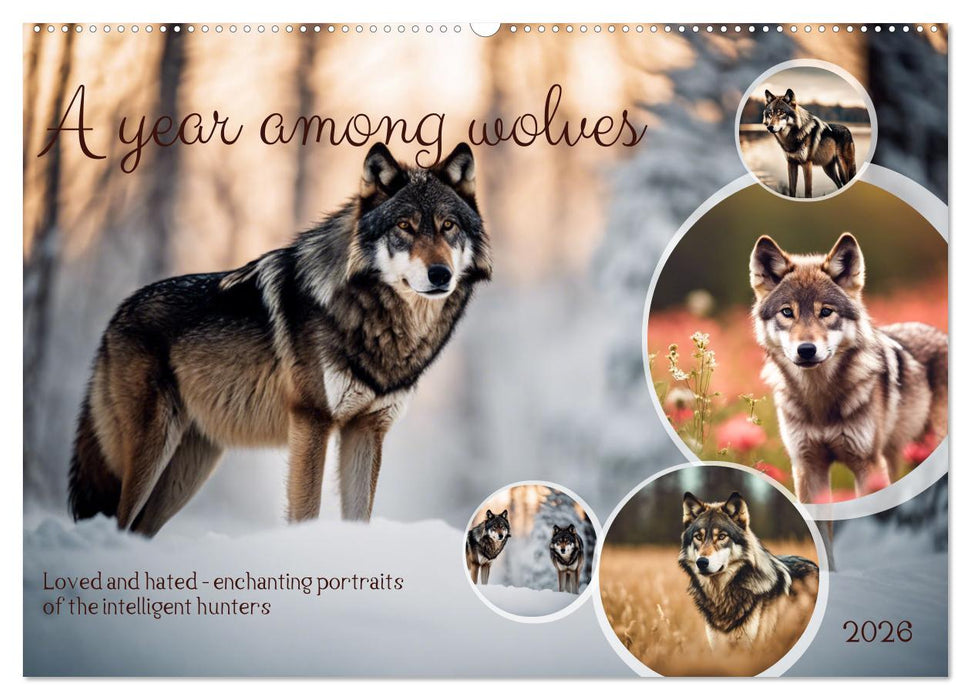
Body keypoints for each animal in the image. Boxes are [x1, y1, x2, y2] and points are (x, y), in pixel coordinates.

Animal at [68, 142, 492, 535]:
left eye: (448, 226)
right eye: (404, 226)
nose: (440, 274)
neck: (375, 316)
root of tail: (117, 315)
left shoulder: (368, 428)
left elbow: (359, 515)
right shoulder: (312, 420)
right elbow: (305, 511)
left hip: (189, 469)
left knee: (139, 527)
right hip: (153, 450)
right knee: (121, 519)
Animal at [750, 233, 947, 503]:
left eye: (825, 312)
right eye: (787, 312)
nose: (806, 350)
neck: (819, 399)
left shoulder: (868, 464)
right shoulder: (807, 467)